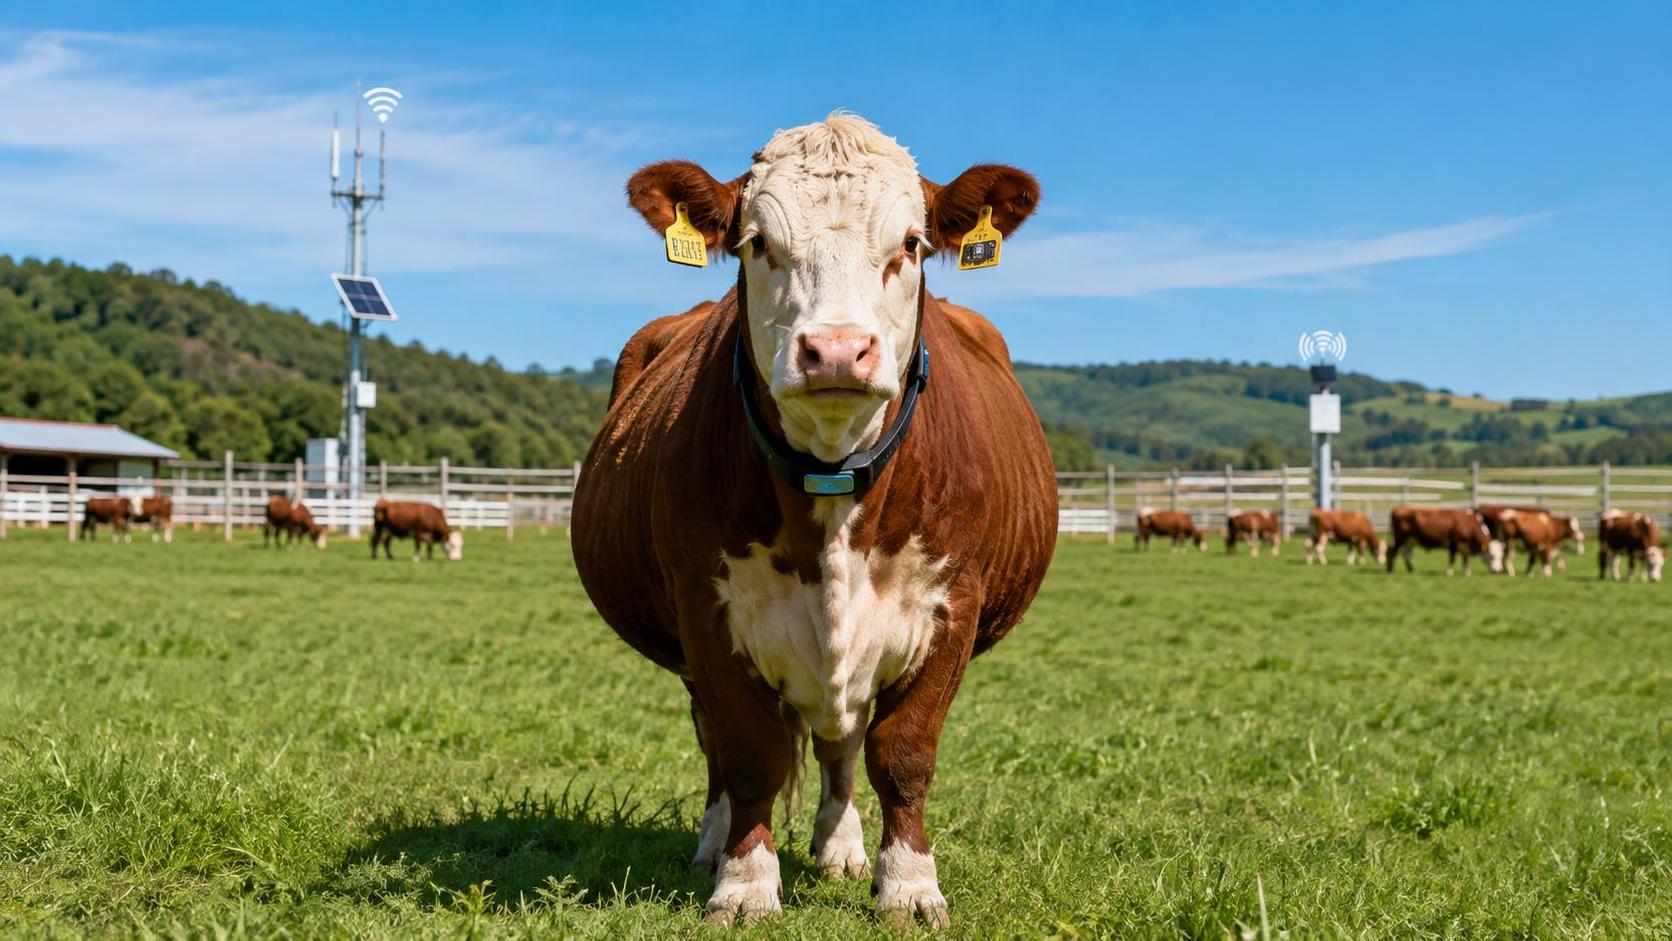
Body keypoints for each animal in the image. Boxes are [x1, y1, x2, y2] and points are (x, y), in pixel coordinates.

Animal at [570, 114, 1054, 927]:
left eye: (912, 243)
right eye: (756, 241)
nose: (835, 350)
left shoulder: (953, 604)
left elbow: (903, 751)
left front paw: (909, 884)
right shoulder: (706, 609)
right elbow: (747, 751)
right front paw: (743, 883)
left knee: (842, 739)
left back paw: (840, 846)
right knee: (717, 739)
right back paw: (714, 842)